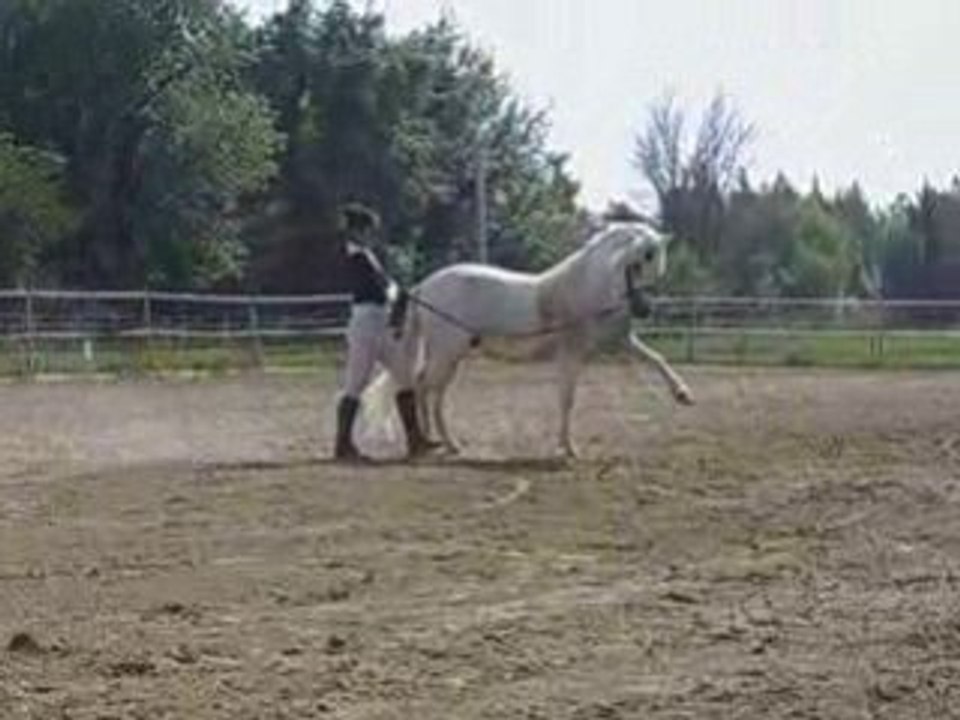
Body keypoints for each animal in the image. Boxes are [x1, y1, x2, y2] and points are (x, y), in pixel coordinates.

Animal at [363, 222, 694, 458]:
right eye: (635, 263)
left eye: (657, 266)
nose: (643, 309)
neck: (588, 289)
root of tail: (425, 286)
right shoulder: (571, 356)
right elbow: (567, 399)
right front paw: (568, 449)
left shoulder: (620, 343)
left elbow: (657, 359)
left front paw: (683, 395)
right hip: (447, 354)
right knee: (421, 387)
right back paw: (429, 442)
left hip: (451, 357)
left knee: (434, 394)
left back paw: (448, 444)